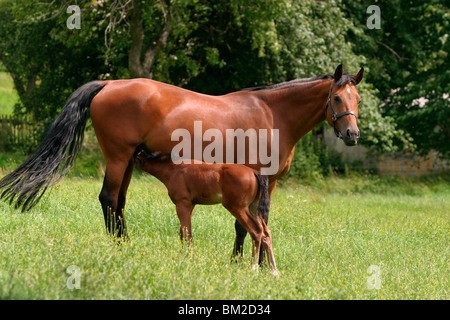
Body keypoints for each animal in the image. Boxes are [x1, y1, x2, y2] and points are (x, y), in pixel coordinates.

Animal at [134, 150, 276, 272]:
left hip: (237, 208)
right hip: (253, 209)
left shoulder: (182, 204)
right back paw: (274, 271)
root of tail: (254, 172)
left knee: (256, 231)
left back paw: (254, 268)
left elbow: (187, 232)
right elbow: (182, 231)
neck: (174, 169)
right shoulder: (191, 205)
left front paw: (189, 257)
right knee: (265, 232)